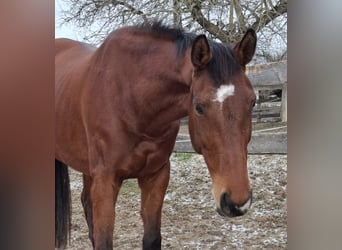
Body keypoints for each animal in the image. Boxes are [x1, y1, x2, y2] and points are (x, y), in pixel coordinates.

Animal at [54, 22, 256, 250]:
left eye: (252, 101)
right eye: (199, 107)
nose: (237, 202)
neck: (132, 99)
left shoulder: (156, 176)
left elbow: (151, 238)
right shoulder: (106, 181)